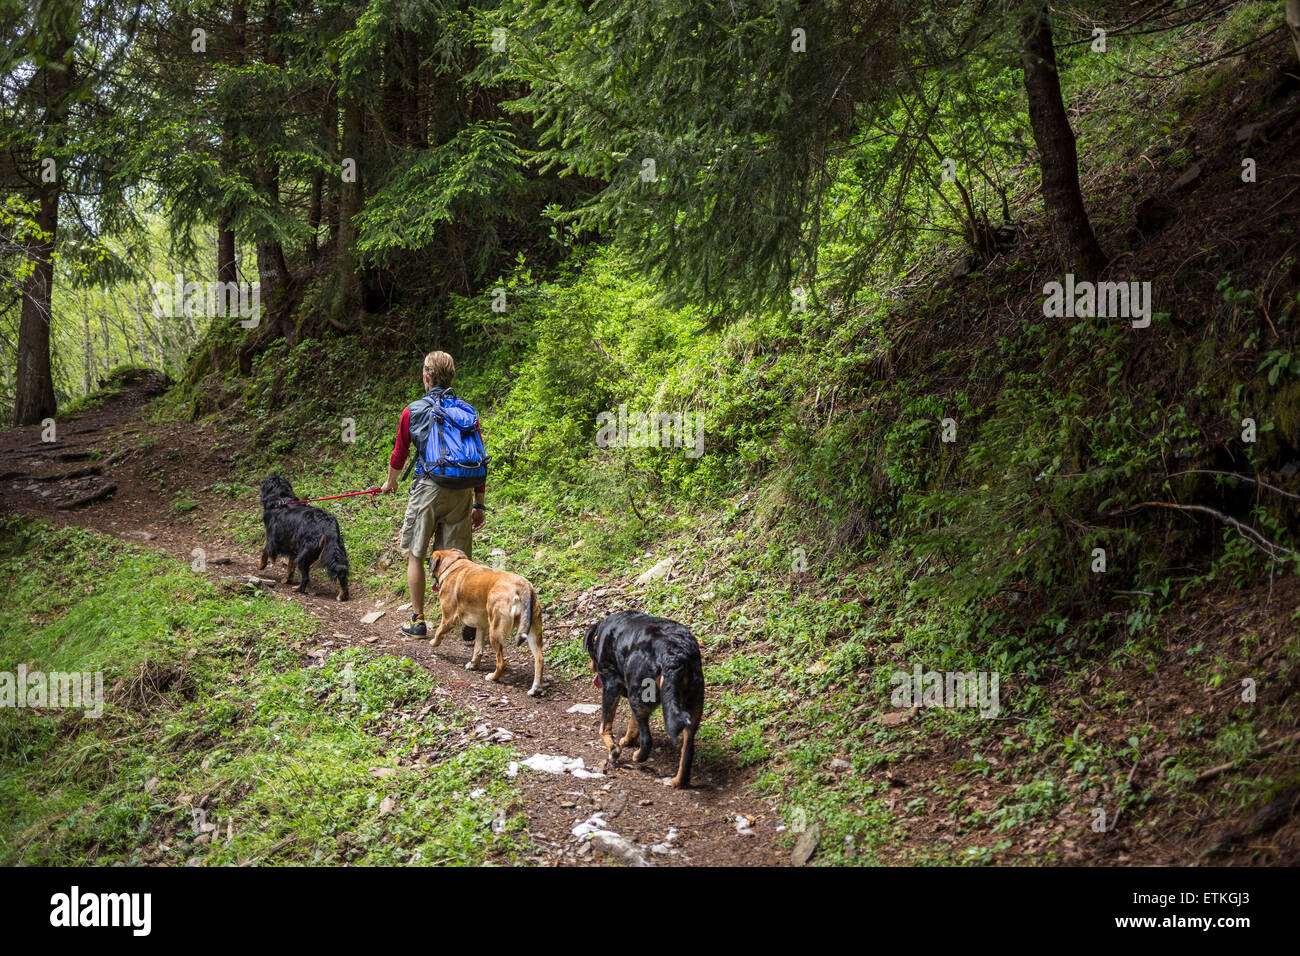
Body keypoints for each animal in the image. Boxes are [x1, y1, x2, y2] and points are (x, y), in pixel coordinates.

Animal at [428, 548, 546, 697]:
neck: (453, 564)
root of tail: (523, 586)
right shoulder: (481, 626)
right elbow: (477, 649)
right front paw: (473, 665)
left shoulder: (448, 619)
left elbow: (439, 631)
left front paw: (434, 642)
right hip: (532, 633)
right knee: (539, 659)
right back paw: (535, 688)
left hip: (495, 631)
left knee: (501, 663)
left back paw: (493, 677)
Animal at [582, 613, 702, 790]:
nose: (591, 667)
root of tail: (674, 653)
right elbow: (633, 724)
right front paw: (628, 740)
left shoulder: (611, 685)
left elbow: (604, 727)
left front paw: (613, 748)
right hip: (692, 707)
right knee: (688, 749)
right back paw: (678, 781)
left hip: (636, 693)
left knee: (647, 739)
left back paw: (638, 757)